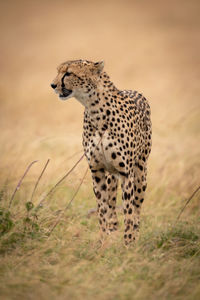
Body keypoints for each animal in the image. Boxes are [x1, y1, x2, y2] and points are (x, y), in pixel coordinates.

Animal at [50, 59, 152, 245]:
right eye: (59, 71)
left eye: (68, 73)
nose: (53, 85)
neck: (95, 111)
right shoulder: (97, 170)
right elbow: (102, 208)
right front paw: (104, 239)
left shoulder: (125, 173)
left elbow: (128, 210)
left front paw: (128, 243)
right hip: (111, 175)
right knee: (112, 204)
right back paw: (113, 231)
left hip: (141, 172)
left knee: (137, 207)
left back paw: (135, 234)